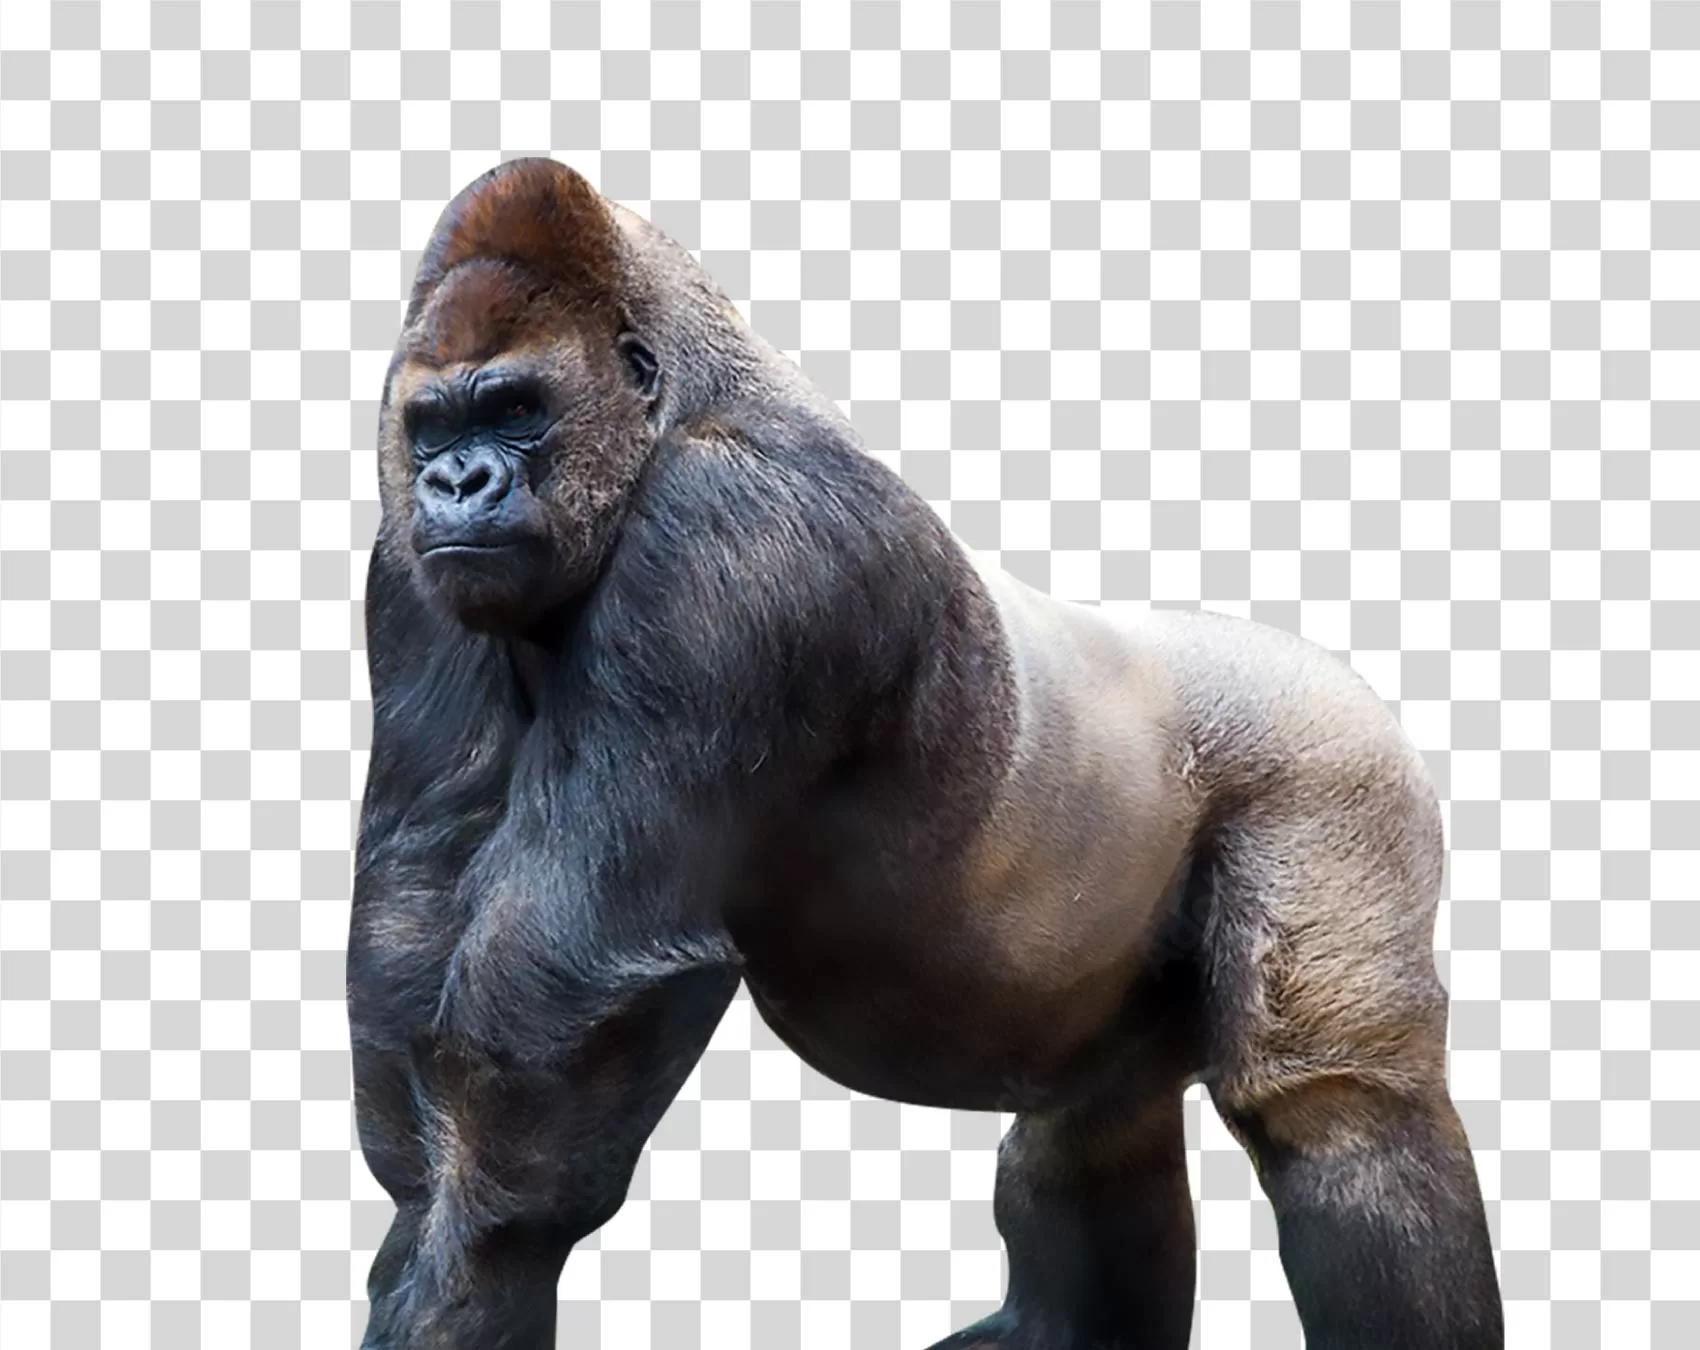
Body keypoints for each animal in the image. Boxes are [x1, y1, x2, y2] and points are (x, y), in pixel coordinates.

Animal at [347, 156, 1504, 1350]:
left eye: (516, 411)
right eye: (431, 425)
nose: (455, 483)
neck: (677, 405)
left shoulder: (730, 538)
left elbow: (573, 969)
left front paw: (470, 1279)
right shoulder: (405, 573)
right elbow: (413, 915)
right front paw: (417, 1236)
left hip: (1338, 769)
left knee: (1336, 1106)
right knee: (1093, 1112)